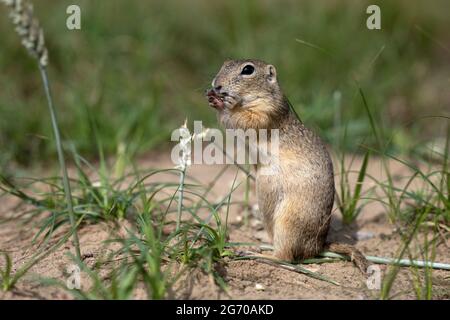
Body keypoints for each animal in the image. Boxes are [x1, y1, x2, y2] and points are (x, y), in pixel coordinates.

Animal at [207, 58, 370, 272]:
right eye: (224, 64)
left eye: (248, 70)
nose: (216, 85)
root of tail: (318, 246)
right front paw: (213, 100)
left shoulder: (268, 112)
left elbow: (247, 119)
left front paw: (226, 103)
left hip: (288, 223)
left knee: (286, 258)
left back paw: (255, 254)